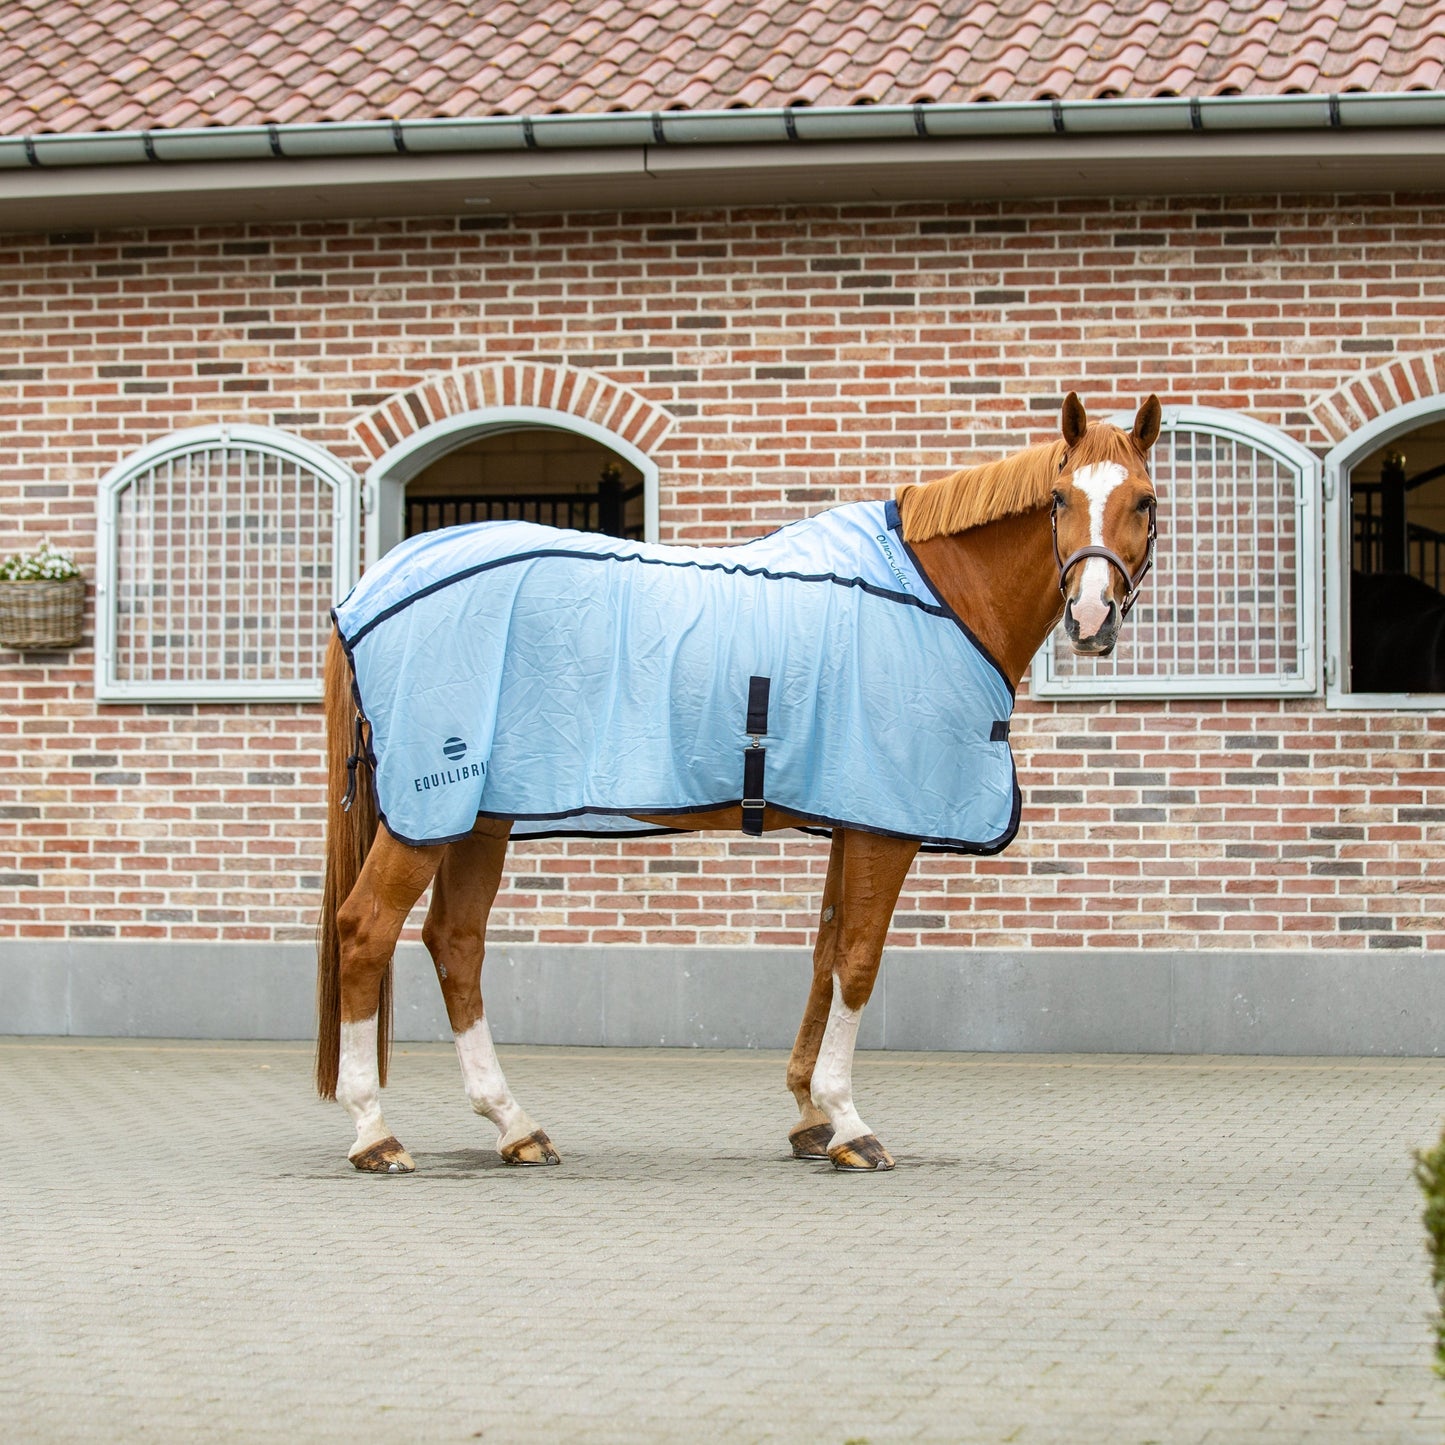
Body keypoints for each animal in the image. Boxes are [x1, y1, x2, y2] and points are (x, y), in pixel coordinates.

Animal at [315, 392, 1161, 1173]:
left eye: (1144, 501)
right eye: (1060, 499)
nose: (1091, 617)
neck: (935, 594)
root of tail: (373, 586)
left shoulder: (849, 816)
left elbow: (825, 953)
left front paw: (810, 1117)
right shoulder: (883, 824)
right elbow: (859, 959)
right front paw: (850, 1123)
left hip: (478, 816)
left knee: (455, 942)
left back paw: (514, 1124)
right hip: (430, 809)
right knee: (366, 930)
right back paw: (375, 1133)